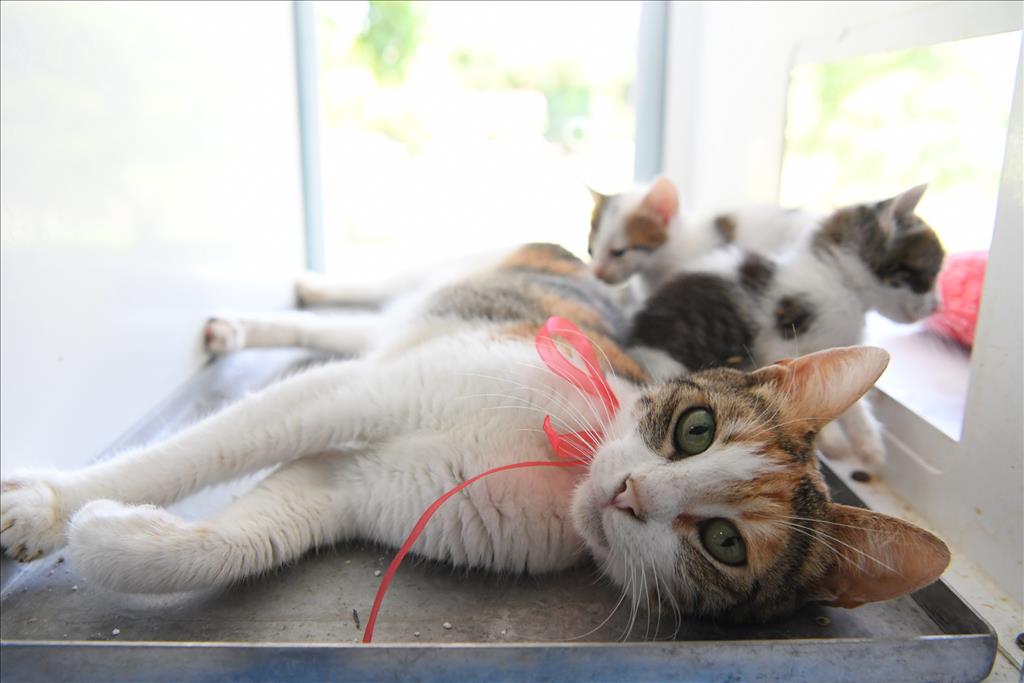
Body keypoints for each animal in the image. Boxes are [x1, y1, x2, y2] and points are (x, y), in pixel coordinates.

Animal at [0, 243, 949, 624]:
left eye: (723, 542)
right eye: (694, 429)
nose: (631, 491)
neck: (558, 467)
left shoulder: (353, 488)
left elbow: (236, 540)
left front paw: (116, 535)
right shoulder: (362, 396)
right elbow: (199, 452)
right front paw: (47, 506)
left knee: (352, 331)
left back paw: (250, 323)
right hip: (444, 289)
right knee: (367, 302)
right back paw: (294, 292)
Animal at [590, 179, 945, 470]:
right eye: (928, 276)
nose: (937, 306)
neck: (837, 281)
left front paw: (868, 444)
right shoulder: (782, 337)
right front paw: (834, 439)